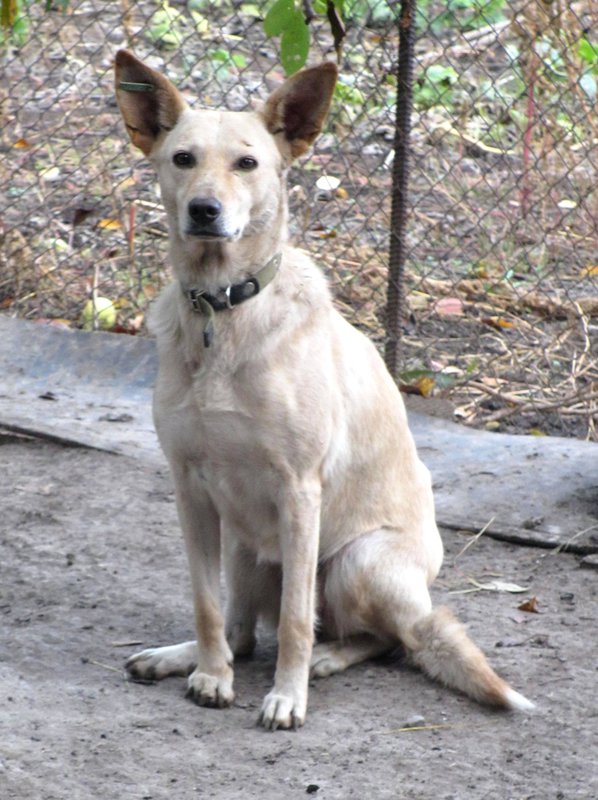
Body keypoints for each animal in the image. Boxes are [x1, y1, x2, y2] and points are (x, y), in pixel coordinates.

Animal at [113, 47, 536, 728]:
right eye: (183, 159)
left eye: (247, 163)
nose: (204, 210)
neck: (224, 311)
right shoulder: (190, 489)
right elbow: (207, 605)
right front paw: (209, 677)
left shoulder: (299, 491)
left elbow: (293, 619)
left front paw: (287, 697)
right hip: (245, 548)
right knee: (240, 632)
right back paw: (186, 658)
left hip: (355, 563)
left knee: (388, 638)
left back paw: (327, 660)